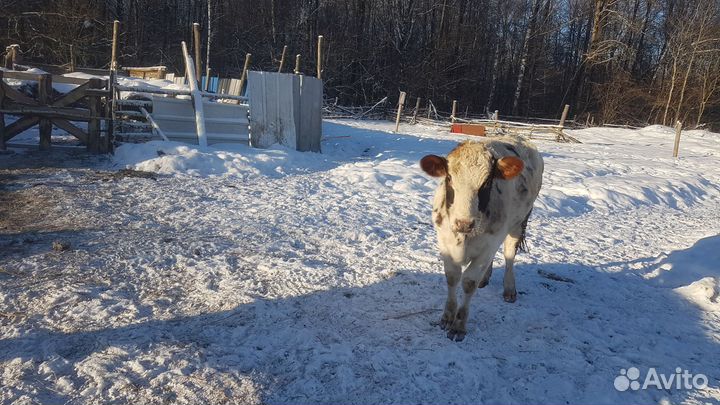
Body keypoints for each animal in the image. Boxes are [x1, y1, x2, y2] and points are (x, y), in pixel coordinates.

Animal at [420, 136, 543, 341]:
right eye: (449, 178)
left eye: (486, 182)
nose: (464, 223)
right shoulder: (444, 243)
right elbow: (452, 277)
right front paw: (447, 317)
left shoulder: (489, 245)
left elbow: (469, 282)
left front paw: (459, 326)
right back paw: (486, 278)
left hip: (518, 224)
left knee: (509, 255)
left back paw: (509, 289)